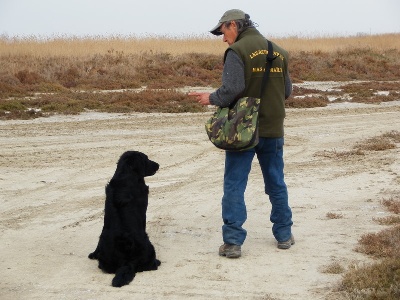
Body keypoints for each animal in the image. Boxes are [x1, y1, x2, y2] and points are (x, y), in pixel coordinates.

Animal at [89, 151, 161, 288]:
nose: (158, 165)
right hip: (150, 247)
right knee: (152, 265)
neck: (126, 175)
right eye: (146, 159)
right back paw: (157, 261)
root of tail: (127, 261)